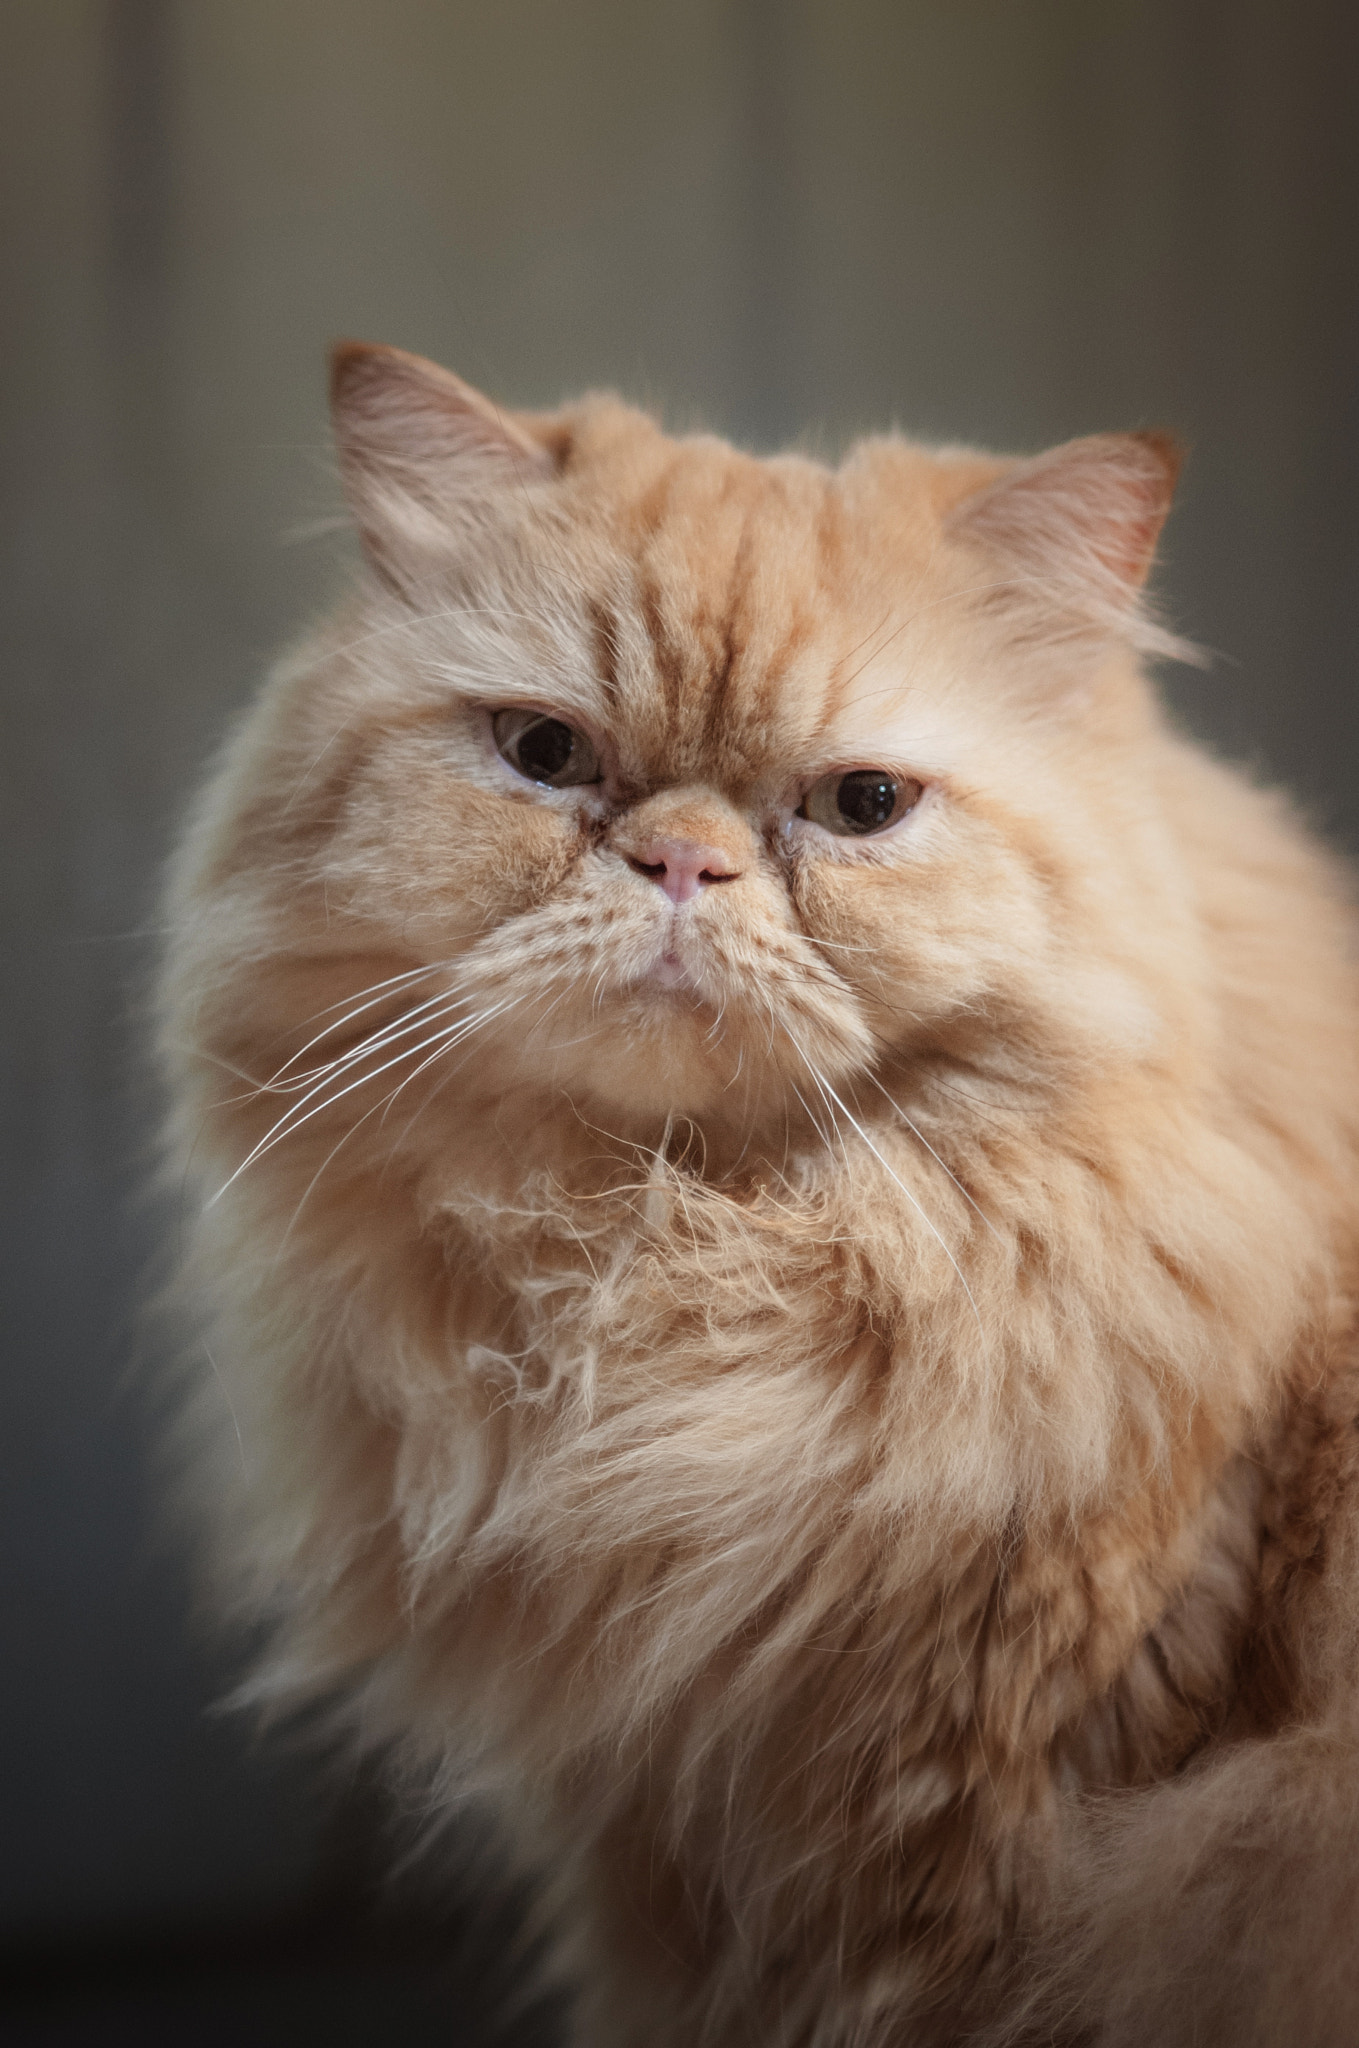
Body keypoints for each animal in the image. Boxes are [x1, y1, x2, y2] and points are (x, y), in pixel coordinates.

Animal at [156, 344, 1358, 2039]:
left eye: (858, 807)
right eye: (545, 756)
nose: (680, 865)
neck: (683, 1284)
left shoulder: (963, 1835)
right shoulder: (664, 1858)